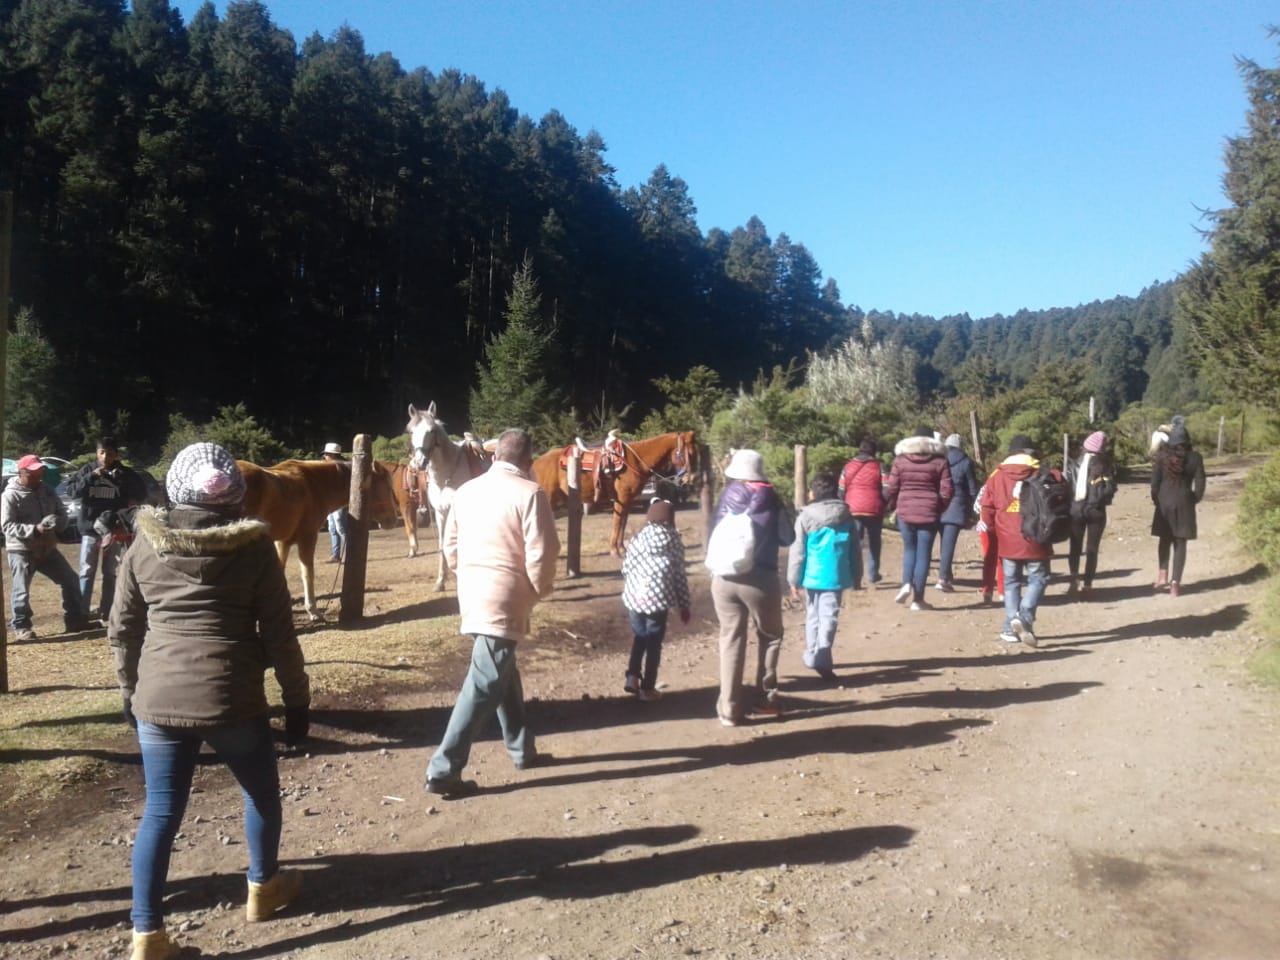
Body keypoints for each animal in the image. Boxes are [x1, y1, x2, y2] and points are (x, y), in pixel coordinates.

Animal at [240, 460, 399, 624]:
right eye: (388, 487)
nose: (393, 520)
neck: (314, 486)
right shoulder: (307, 537)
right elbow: (308, 574)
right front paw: (313, 611)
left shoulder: (283, 542)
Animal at [407, 401, 491, 591]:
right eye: (411, 431)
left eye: (431, 430)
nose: (419, 462)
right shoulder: (440, 513)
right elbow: (442, 545)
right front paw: (440, 581)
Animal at [529, 430, 701, 555]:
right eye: (689, 454)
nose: (690, 479)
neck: (635, 461)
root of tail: (536, 462)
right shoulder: (621, 499)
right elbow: (617, 523)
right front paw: (614, 550)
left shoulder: (627, 501)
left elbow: (623, 523)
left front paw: (622, 549)